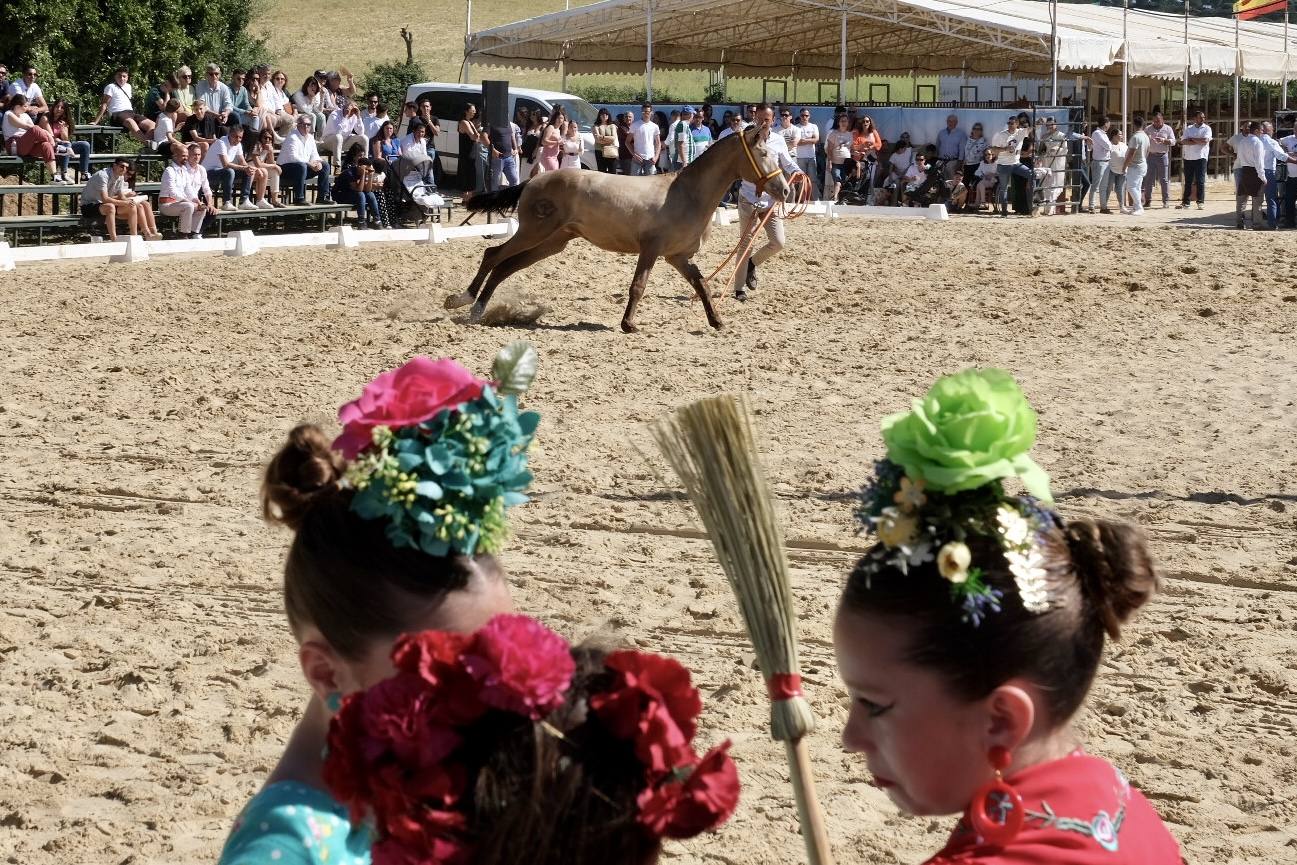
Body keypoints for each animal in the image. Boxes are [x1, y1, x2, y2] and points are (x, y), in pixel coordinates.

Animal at [446, 125, 788, 334]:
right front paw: (628, 324)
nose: (784, 190)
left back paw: (478, 308)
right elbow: (638, 286)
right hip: (534, 232)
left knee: (505, 266)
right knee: (493, 255)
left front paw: (717, 320)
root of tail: (533, 180)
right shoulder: (651, 249)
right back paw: (464, 302)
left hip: (552, 242)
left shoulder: (677, 256)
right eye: (764, 154)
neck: (686, 193)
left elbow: (701, 284)